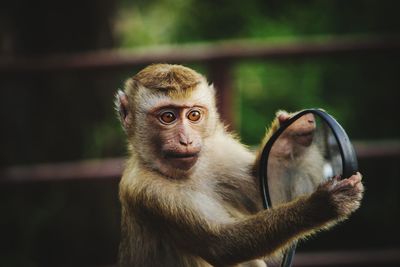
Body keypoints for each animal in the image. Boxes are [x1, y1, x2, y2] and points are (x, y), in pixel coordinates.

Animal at [114, 63, 364, 266]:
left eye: (194, 115)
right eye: (167, 117)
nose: (186, 140)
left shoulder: (218, 151)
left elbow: (262, 194)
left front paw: (288, 135)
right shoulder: (148, 191)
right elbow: (222, 245)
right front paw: (321, 204)